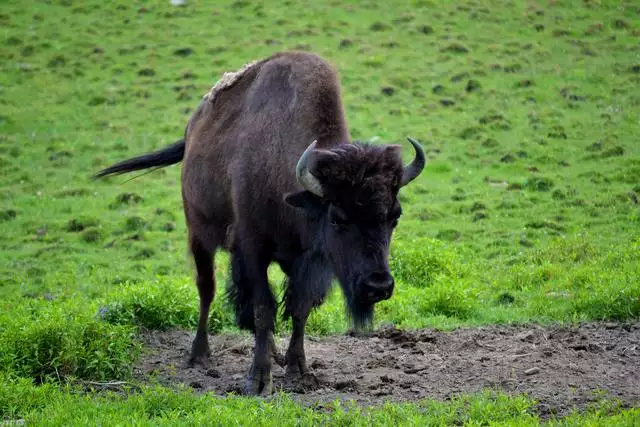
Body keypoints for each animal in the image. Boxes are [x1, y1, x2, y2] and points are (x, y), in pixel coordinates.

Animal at [95, 51, 424, 396]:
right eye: (338, 217)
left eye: (395, 215)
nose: (378, 286)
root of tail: (193, 127)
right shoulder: (253, 249)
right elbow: (264, 307)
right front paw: (258, 379)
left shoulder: (308, 261)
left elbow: (299, 307)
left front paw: (298, 370)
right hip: (199, 234)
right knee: (207, 288)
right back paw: (199, 355)